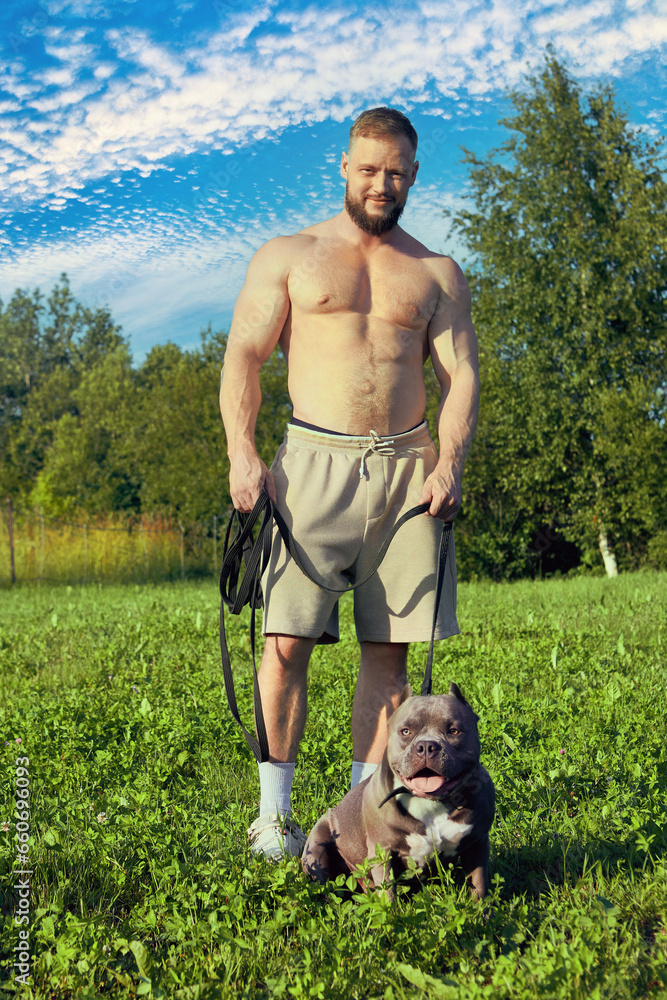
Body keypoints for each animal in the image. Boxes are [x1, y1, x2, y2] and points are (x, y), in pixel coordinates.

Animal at [302, 684, 496, 904]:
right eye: (405, 731)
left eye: (454, 731)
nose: (427, 746)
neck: (430, 803)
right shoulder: (382, 850)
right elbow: (388, 892)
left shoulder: (478, 843)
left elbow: (479, 885)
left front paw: (482, 911)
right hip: (317, 847)